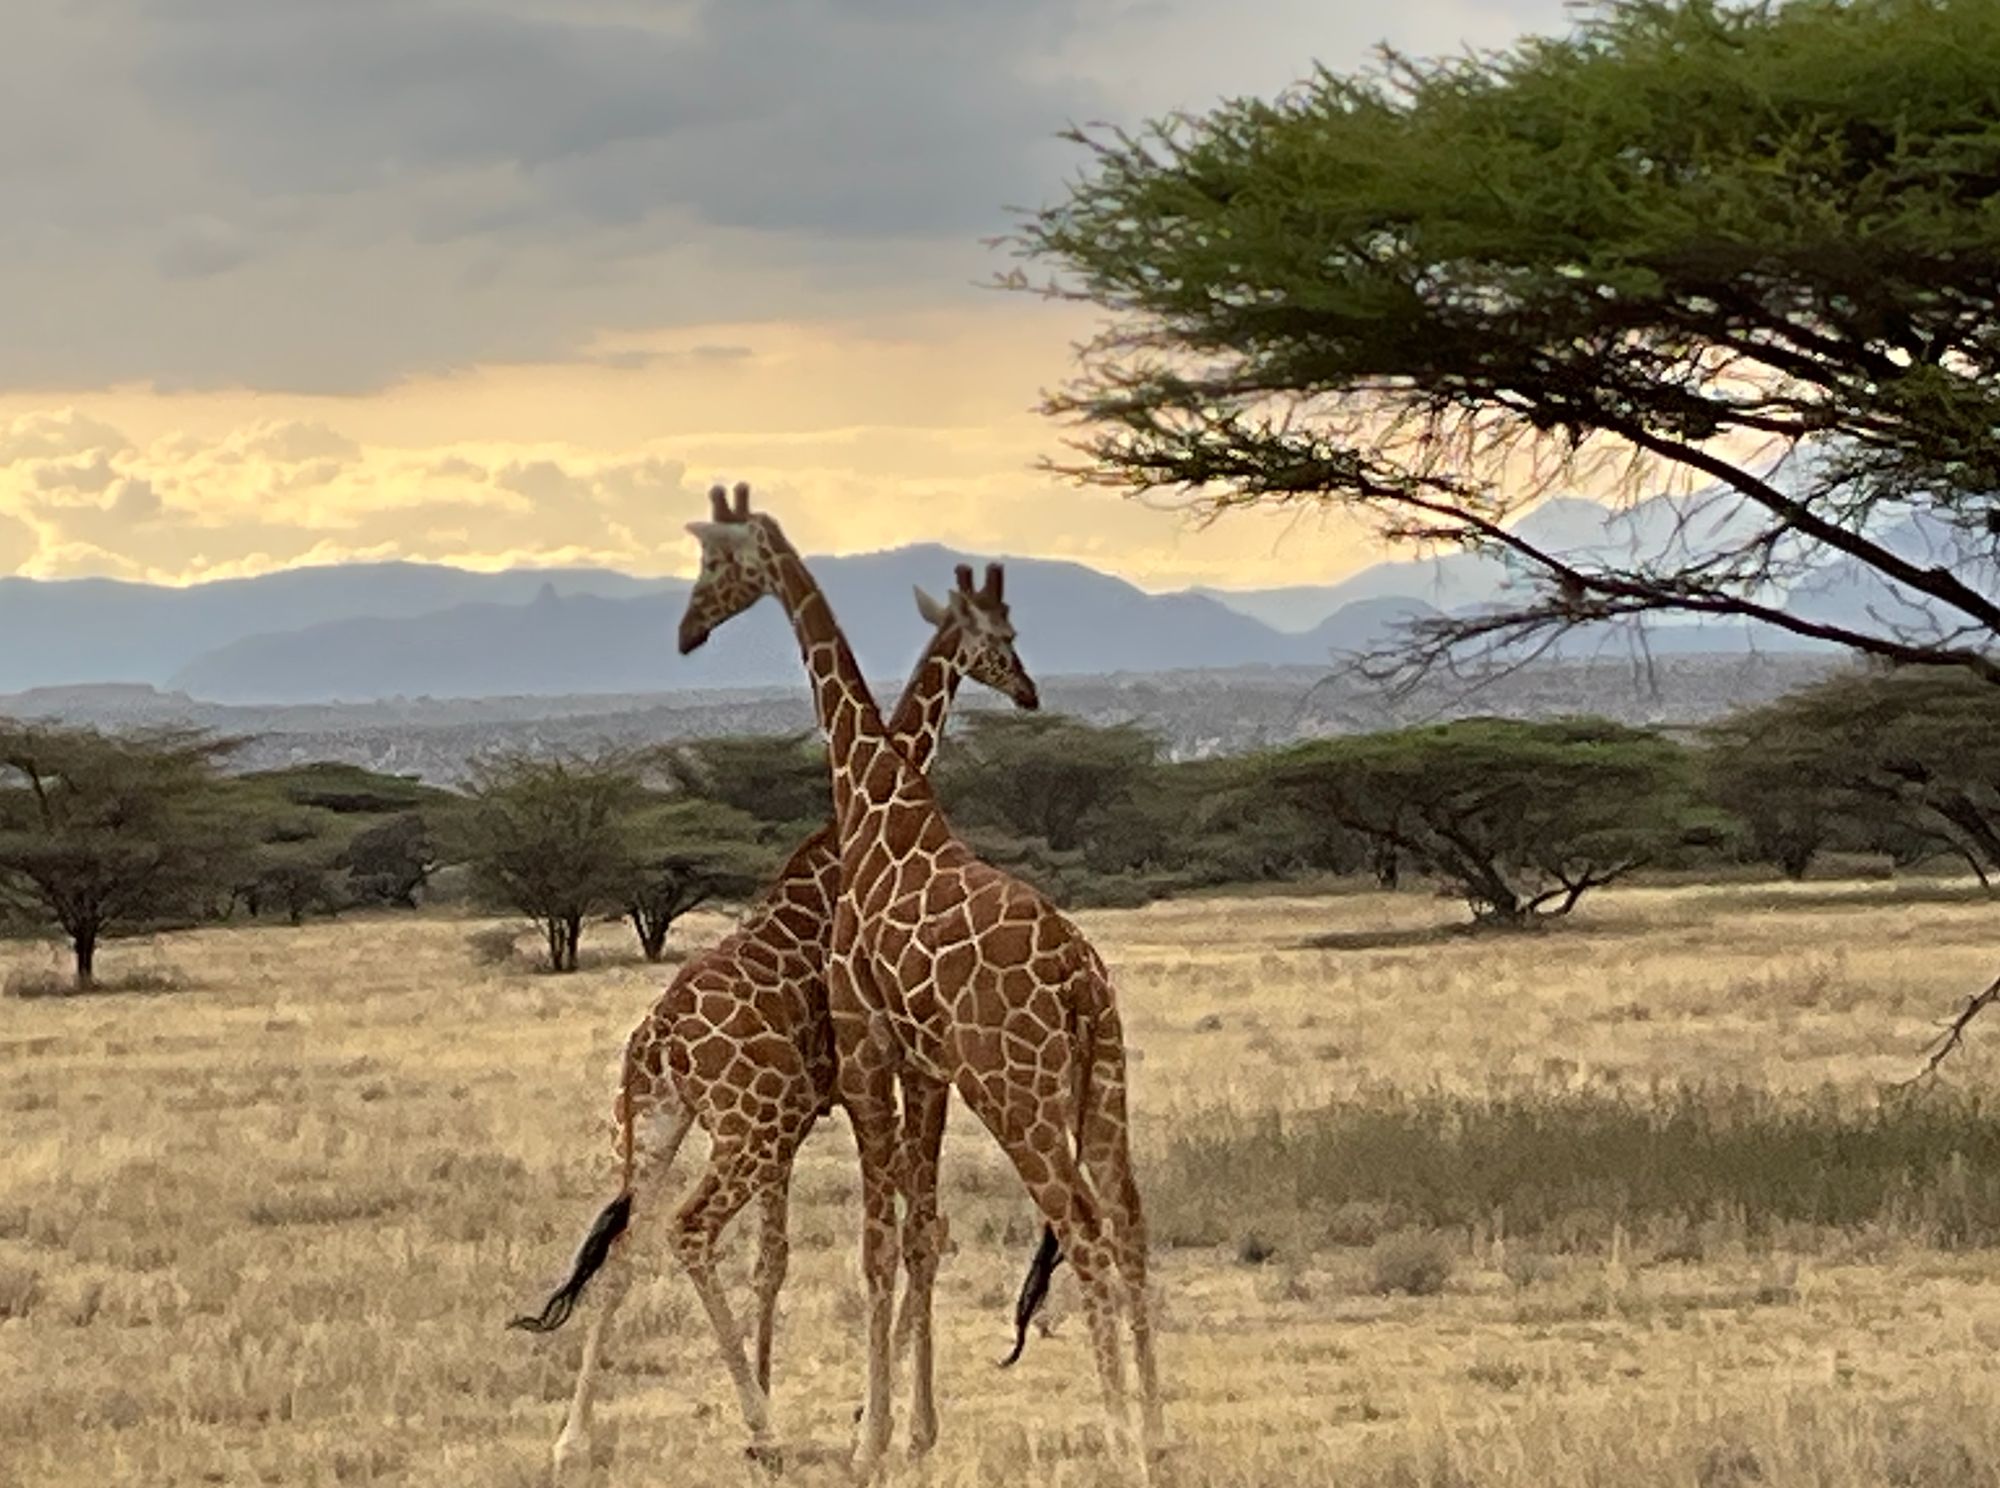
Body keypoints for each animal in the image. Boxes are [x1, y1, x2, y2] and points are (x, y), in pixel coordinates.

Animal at [509, 532, 1040, 1479]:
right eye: (1001, 642)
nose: (1028, 689)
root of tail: (659, 1039)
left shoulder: (806, 1115)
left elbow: (780, 1258)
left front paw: (827, 1404)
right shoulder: (837, 1097)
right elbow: (900, 1234)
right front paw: (878, 1419)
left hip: (657, 1125)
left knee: (623, 1247)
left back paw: (576, 1439)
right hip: (747, 1125)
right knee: (687, 1232)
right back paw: (766, 1427)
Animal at [678, 483, 1163, 1477]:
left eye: (716, 562)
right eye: (1001, 637)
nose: (688, 629)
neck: (878, 804)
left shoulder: (879, 1055)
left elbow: (888, 1243)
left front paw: (880, 1435)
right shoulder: (915, 1067)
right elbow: (913, 1235)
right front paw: (896, 1426)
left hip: (1013, 1091)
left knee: (1089, 1230)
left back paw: (1123, 1443)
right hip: (1096, 1080)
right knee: (1127, 1224)